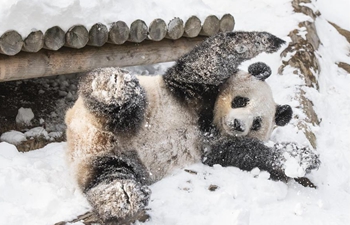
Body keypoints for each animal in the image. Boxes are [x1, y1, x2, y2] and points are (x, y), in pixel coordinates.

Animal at [65, 31, 320, 223]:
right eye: (240, 101)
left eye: (257, 123)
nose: (238, 124)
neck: (208, 122)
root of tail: (87, 137)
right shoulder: (189, 91)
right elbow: (208, 61)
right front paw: (269, 41)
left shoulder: (214, 146)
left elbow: (244, 153)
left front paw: (301, 159)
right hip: (114, 109)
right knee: (122, 100)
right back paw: (114, 87)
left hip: (112, 161)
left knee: (109, 174)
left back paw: (123, 197)